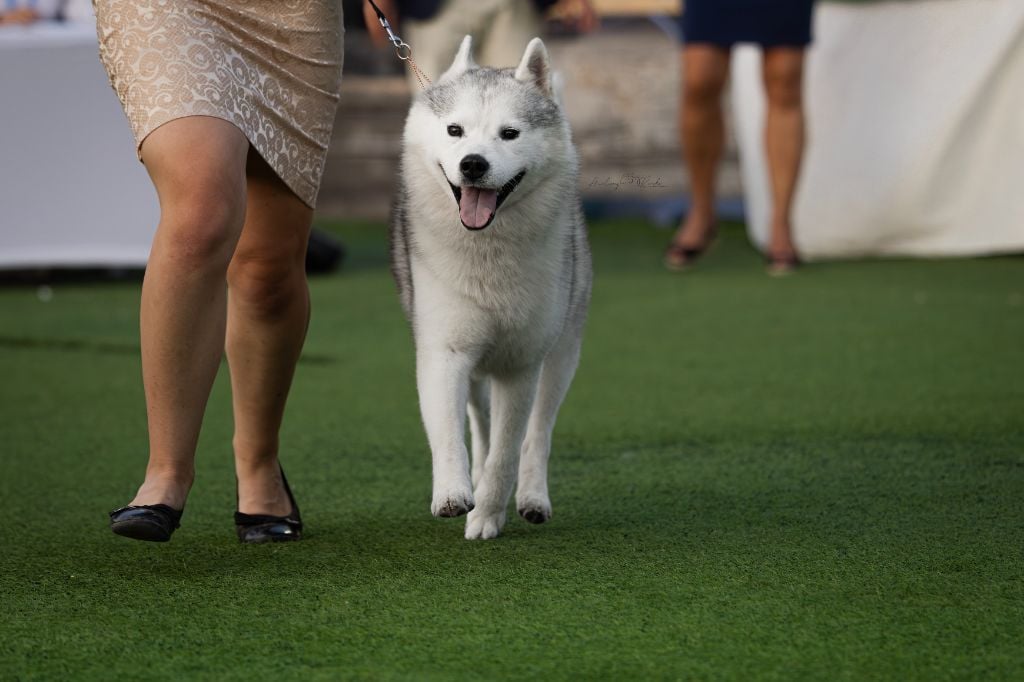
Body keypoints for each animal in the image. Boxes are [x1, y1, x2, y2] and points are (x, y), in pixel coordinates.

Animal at [389, 35, 593, 536]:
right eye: (455, 130)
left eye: (510, 134)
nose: (473, 165)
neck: (487, 252)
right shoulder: (444, 351)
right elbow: (450, 433)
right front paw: (454, 493)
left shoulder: (521, 365)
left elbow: (509, 451)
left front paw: (487, 514)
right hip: (481, 366)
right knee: (479, 423)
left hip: (561, 355)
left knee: (538, 433)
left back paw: (532, 497)